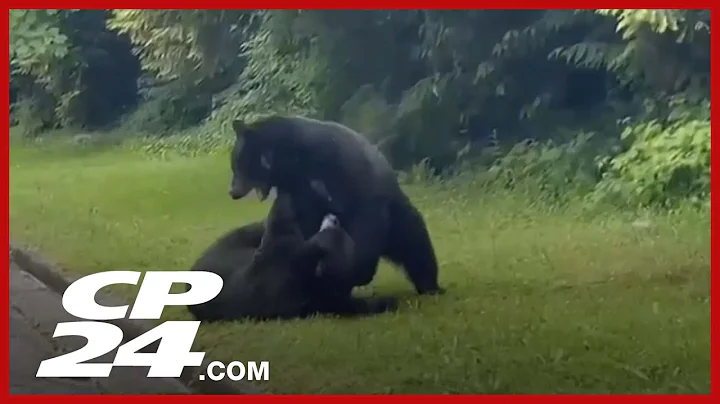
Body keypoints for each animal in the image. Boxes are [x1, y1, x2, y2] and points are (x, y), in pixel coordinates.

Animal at [228, 115, 444, 297]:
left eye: (239, 164)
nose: (232, 192)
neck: (293, 161)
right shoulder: (299, 190)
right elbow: (301, 220)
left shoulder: (342, 174)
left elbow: (362, 226)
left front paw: (352, 270)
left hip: (398, 216)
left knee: (416, 244)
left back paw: (430, 286)